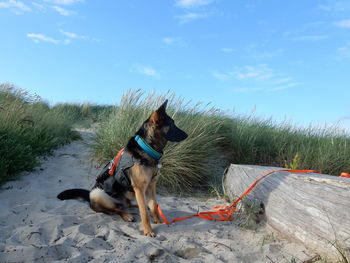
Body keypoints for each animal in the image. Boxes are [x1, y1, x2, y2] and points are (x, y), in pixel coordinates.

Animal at [57, 100, 189, 237]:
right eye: (171, 125)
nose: (187, 135)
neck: (147, 148)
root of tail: (89, 195)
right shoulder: (140, 188)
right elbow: (144, 213)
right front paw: (148, 231)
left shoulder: (151, 186)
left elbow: (153, 205)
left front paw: (158, 220)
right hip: (98, 194)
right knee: (117, 209)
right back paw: (126, 215)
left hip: (130, 195)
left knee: (130, 205)